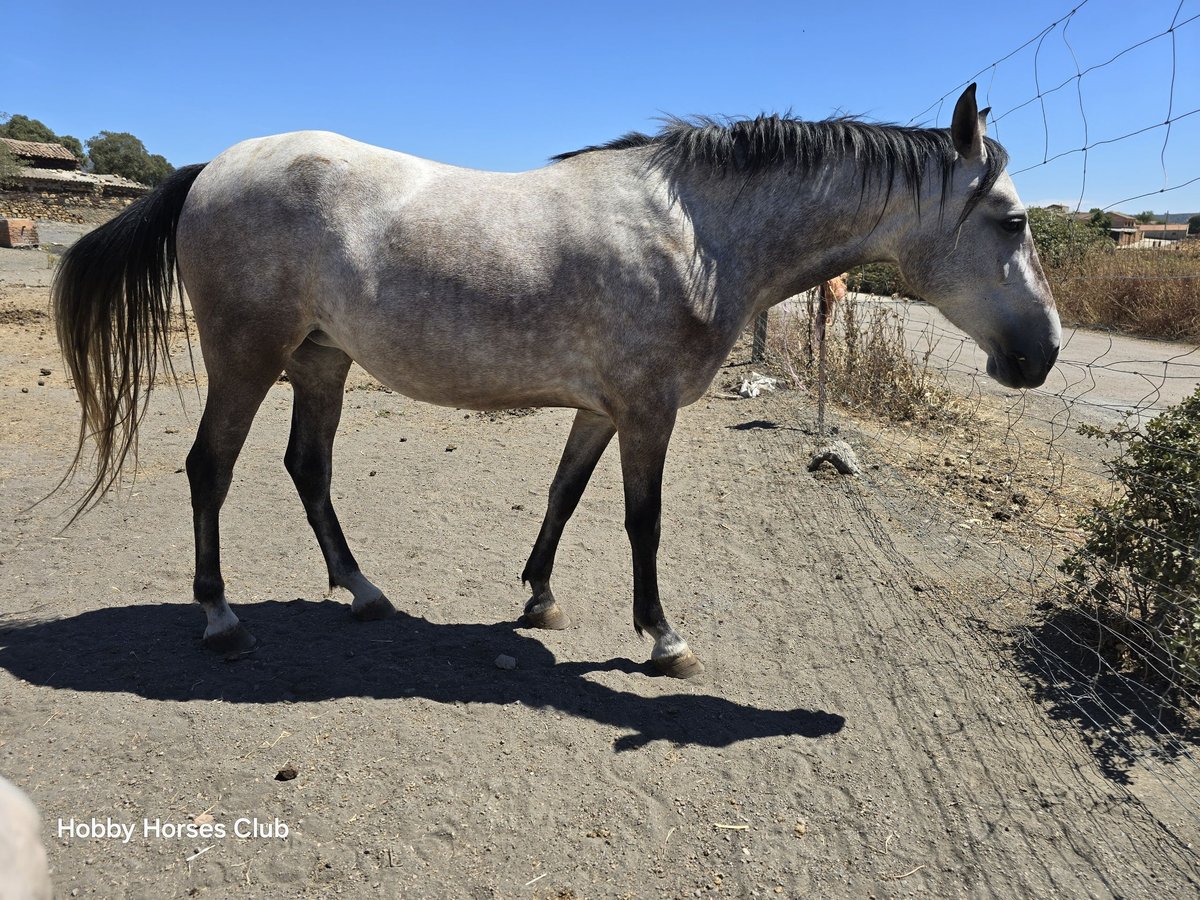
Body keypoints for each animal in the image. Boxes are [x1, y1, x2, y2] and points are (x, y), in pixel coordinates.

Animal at [54, 86, 1060, 676]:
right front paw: (663, 637)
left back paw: (364, 592)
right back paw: (221, 617)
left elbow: (564, 496)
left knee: (308, 469)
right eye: (1011, 221)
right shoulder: (649, 413)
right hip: (247, 358)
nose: (1043, 353)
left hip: (321, 362)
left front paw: (539, 597)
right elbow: (642, 522)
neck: (698, 234)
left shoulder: (602, 410)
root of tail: (210, 170)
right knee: (211, 470)